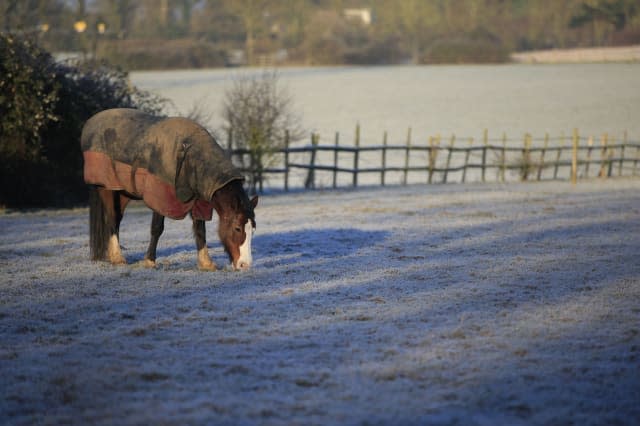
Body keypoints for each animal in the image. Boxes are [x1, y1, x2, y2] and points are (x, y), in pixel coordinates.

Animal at [80, 108, 258, 272]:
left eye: (253, 229)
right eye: (237, 228)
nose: (245, 265)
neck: (190, 158)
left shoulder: (199, 202)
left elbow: (200, 231)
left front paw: (206, 264)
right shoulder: (160, 197)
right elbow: (157, 229)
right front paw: (149, 261)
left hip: (123, 193)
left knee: (117, 220)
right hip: (107, 189)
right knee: (111, 219)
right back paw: (117, 257)